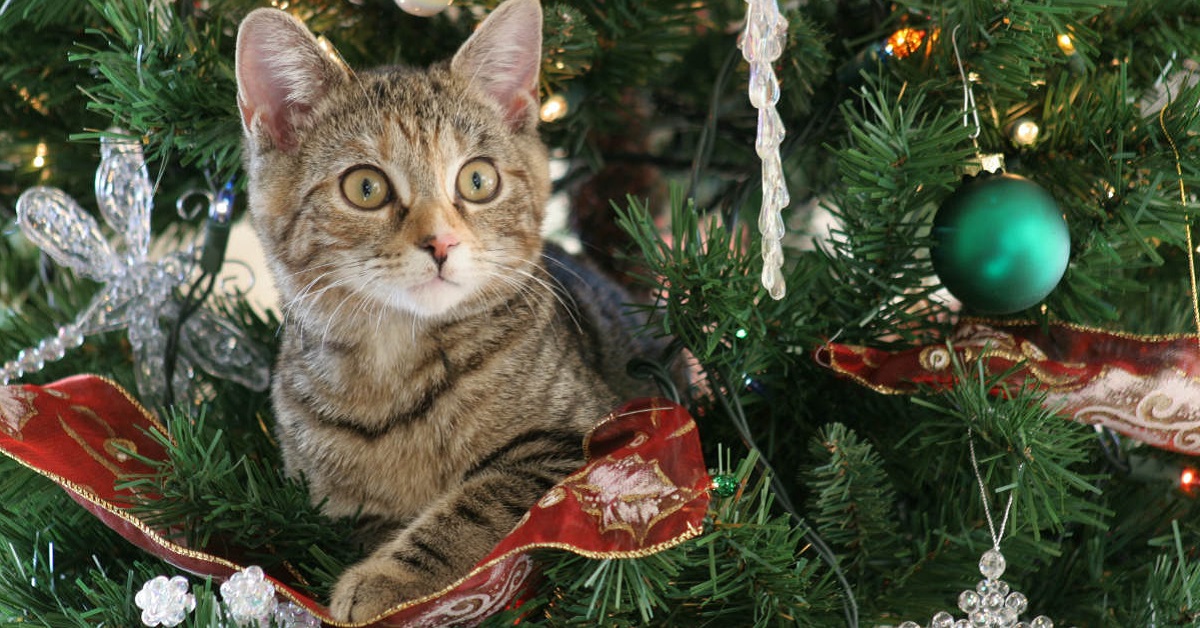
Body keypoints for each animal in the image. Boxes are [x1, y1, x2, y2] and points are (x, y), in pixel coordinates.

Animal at [236, 0, 657, 619]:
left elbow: (479, 502)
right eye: (365, 187)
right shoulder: (324, 503)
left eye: (478, 180)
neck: (395, 365)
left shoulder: (585, 438)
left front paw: (389, 578)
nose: (441, 242)